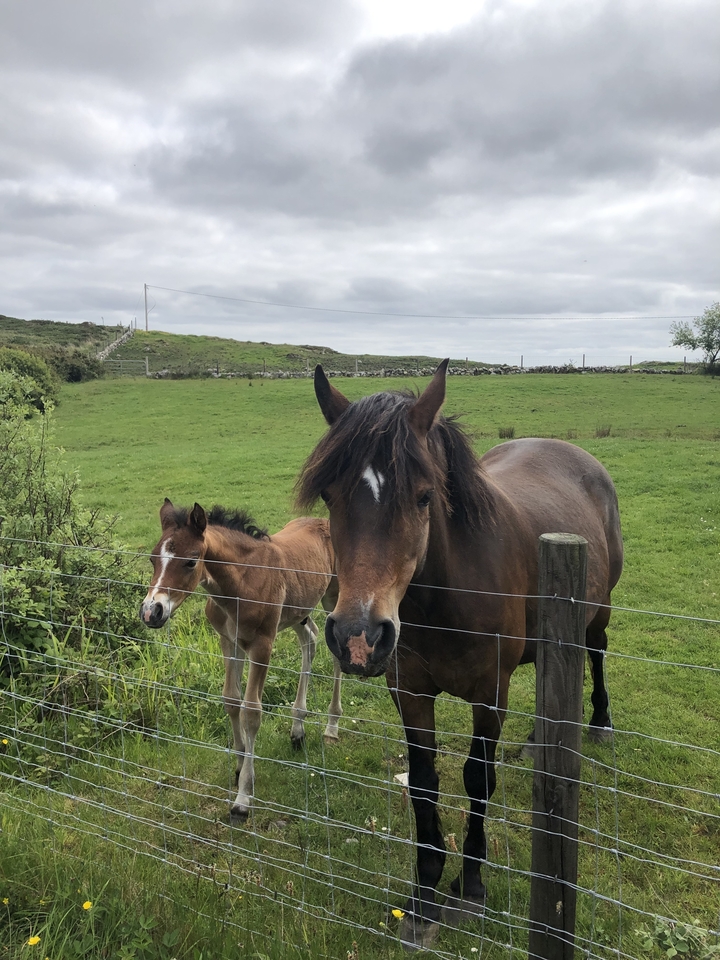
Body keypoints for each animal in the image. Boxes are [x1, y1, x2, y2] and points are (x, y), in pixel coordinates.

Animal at [139, 499, 343, 819]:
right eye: (152, 559)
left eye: (191, 561)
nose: (151, 612)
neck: (240, 585)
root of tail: (321, 520)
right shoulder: (228, 641)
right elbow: (231, 700)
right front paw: (237, 766)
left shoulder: (262, 645)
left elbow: (251, 712)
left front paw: (243, 797)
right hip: (299, 610)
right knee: (309, 640)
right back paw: (297, 729)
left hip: (332, 597)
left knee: (334, 652)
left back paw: (331, 727)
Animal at [296, 360, 623, 948]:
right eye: (330, 497)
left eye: (424, 496)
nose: (357, 636)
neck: (444, 593)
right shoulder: (409, 691)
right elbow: (424, 782)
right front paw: (424, 894)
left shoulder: (489, 693)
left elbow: (477, 777)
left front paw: (470, 885)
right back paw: (539, 739)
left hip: (597, 611)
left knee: (597, 653)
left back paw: (601, 722)